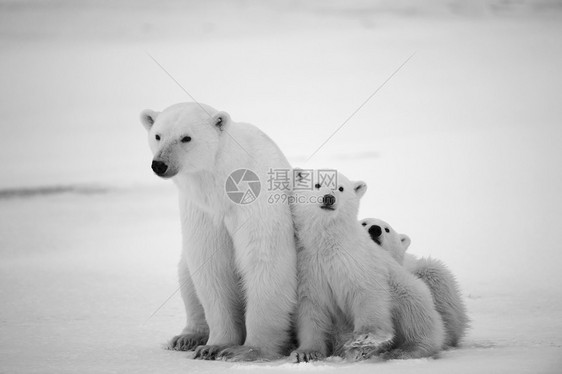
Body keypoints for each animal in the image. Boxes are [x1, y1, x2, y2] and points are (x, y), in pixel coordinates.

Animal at [139, 103, 298, 362]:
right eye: (158, 135)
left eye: (186, 137)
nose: (160, 164)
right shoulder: (201, 211)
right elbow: (211, 267)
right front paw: (214, 346)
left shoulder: (255, 202)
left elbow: (264, 260)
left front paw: (247, 350)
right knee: (186, 276)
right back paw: (187, 337)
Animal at [288, 172, 442, 362]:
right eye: (317, 185)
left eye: (341, 188)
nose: (329, 198)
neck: (327, 243)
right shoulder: (309, 267)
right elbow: (311, 308)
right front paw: (306, 353)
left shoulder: (357, 260)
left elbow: (367, 293)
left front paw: (364, 339)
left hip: (407, 289)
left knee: (415, 314)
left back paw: (405, 350)